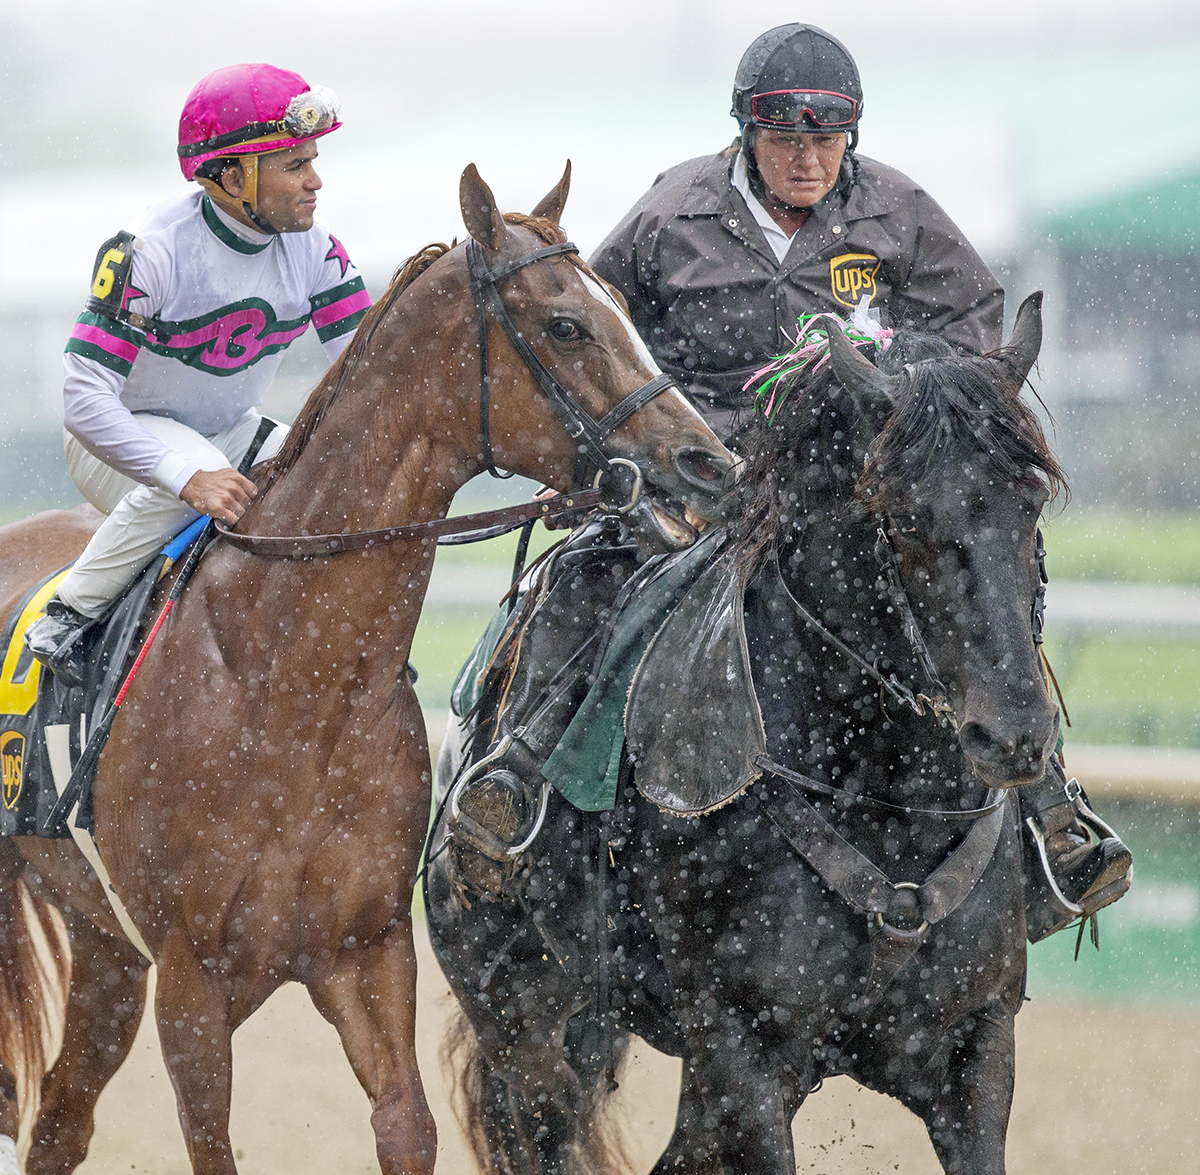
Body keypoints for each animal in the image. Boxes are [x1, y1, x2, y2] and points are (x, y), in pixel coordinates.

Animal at [0, 163, 736, 1175]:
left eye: (623, 306)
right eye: (565, 325)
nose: (711, 463)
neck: (288, 687)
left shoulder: (368, 949)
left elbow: (406, 1124)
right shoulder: (194, 977)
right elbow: (211, 1137)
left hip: (105, 945)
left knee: (61, 1120)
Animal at [425, 293, 1064, 1175]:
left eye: (1027, 503)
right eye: (902, 516)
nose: (1015, 734)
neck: (886, 804)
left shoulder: (977, 1049)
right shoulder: (741, 1054)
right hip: (518, 1015)